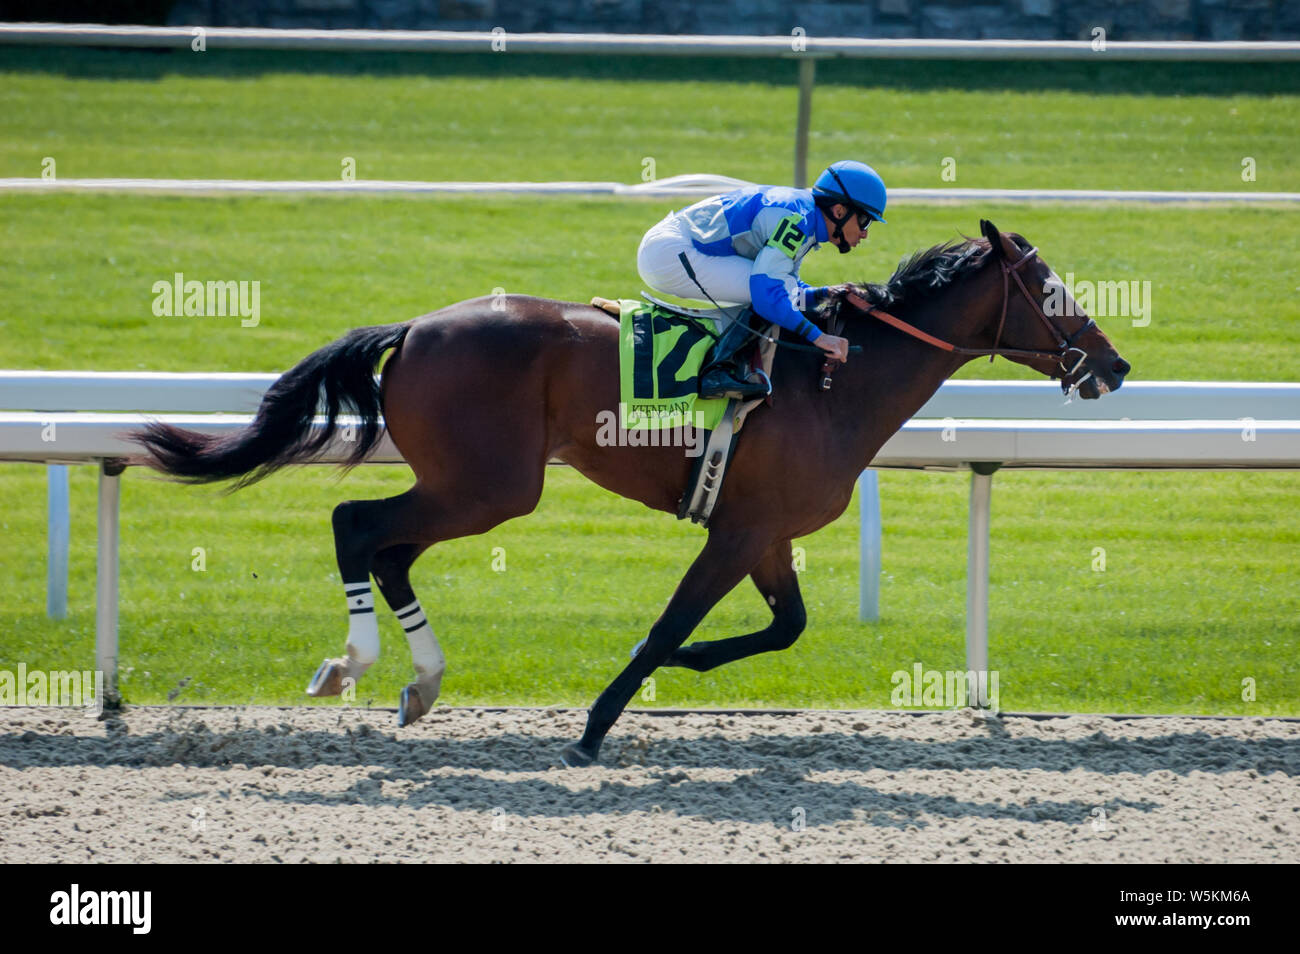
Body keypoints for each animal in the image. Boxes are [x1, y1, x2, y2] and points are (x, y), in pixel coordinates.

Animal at [129, 220, 1128, 764]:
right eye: (1051, 290)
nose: (1114, 365)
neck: (838, 379)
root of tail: (413, 328)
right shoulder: (737, 533)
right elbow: (669, 624)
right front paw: (598, 724)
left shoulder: (766, 532)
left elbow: (785, 627)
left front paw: (686, 669)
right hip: (491, 487)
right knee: (355, 525)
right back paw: (355, 665)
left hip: (471, 485)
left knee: (390, 550)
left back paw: (420, 682)